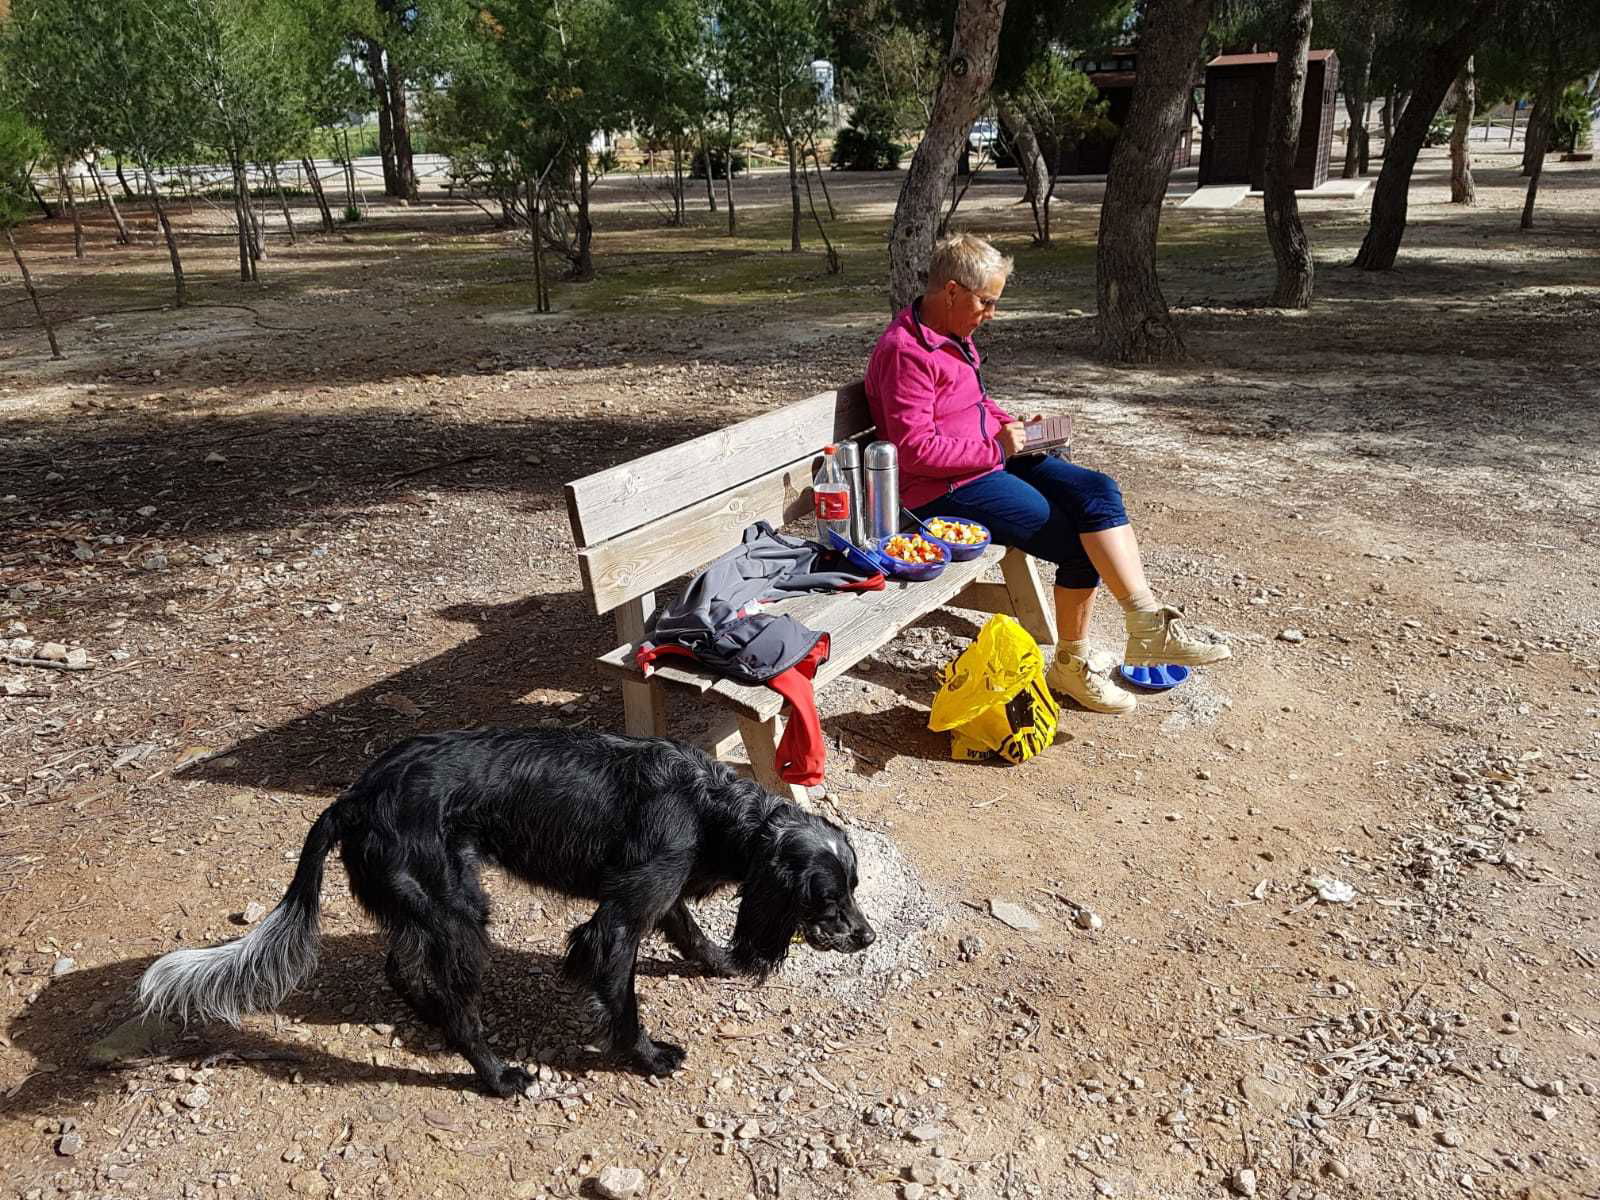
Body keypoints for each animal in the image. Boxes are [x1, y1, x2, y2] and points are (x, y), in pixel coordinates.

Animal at [136, 729, 876, 1107]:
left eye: (854, 888)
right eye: (828, 898)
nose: (867, 936)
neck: (709, 805)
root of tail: (355, 797)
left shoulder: (659, 896)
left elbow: (690, 933)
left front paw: (720, 963)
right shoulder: (619, 918)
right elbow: (623, 997)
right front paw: (645, 1058)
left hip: (429, 908)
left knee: (404, 971)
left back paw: (431, 1019)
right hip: (461, 914)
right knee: (459, 1006)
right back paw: (496, 1075)